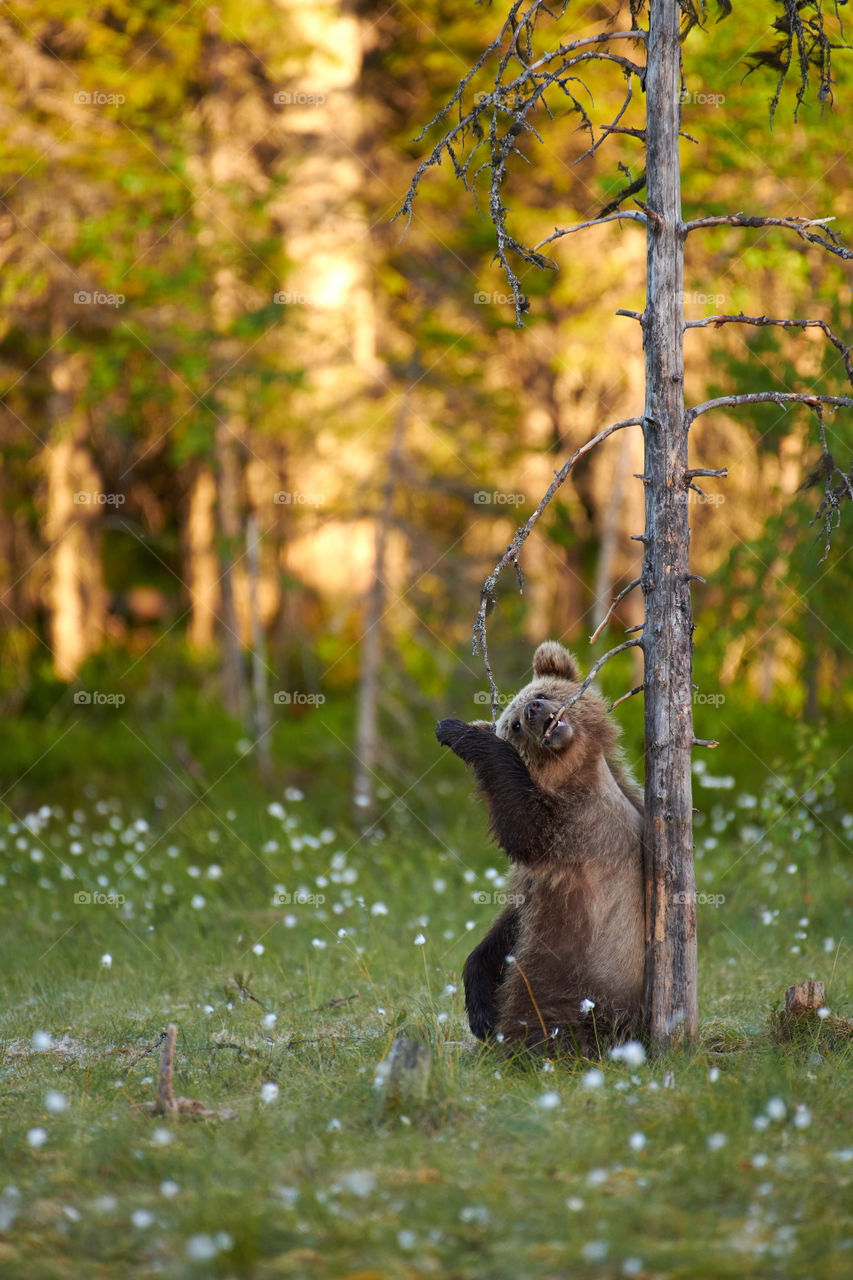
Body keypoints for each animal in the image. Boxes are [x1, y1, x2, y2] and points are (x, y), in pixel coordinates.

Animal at [436, 640, 645, 1055]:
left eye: (543, 694)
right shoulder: (540, 875)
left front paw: (458, 731)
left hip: (581, 983)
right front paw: (480, 1006)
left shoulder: (579, 826)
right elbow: (508, 925)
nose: (532, 710)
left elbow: (523, 828)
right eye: (515, 724)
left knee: (543, 1017)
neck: (571, 773)